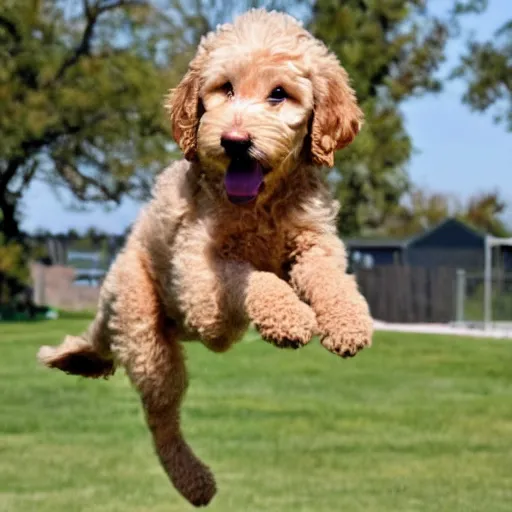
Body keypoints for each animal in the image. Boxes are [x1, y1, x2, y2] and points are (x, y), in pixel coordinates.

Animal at [37, 9, 372, 508]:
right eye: (224, 88)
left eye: (279, 94)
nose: (234, 141)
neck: (258, 205)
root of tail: (106, 303)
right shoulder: (200, 281)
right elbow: (248, 279)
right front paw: (290, 317)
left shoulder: (315, 242)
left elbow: (331, 278)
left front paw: (348, 324)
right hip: (148, 337)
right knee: (161, 422)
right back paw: (194, 481)